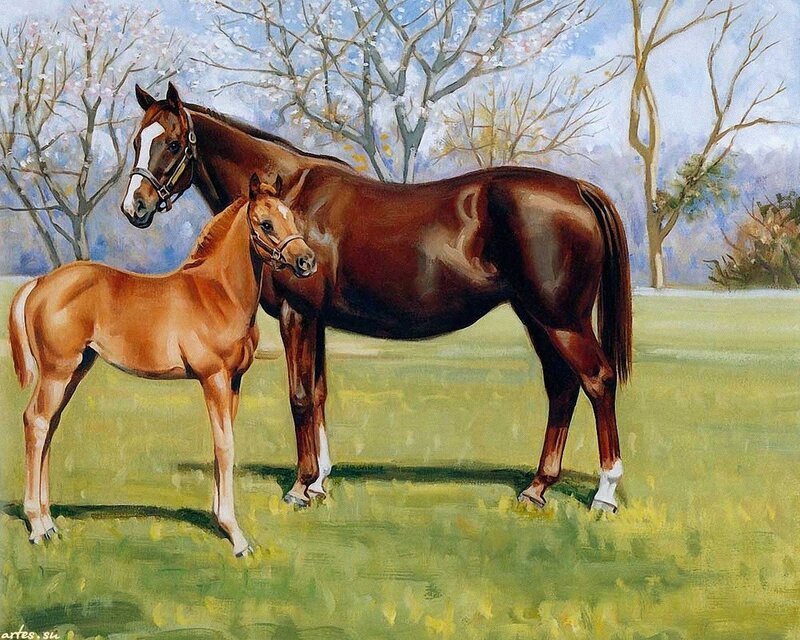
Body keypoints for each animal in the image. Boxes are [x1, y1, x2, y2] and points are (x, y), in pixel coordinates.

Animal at [9, 174, 316, 555]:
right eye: (266, 224)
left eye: (292, 218)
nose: (306, 262)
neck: (218, 293)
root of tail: (40, 283)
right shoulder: (213, 378)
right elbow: (225, 445)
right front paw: (236, 536)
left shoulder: (233, 382)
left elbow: (223, 443)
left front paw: (221, 521)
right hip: (56, 372)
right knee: (36, 422)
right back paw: (37, 526)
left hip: (75, 370)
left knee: (50, 424)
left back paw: (50, 523)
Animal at [122, 83, 632, 513]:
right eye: (136, 140)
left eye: (172, 143)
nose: (135, 207)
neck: (290, 197)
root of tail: (578, 189)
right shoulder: (317, 319)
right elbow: (320, 393)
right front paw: (320, 482)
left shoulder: (296, 314)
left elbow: (300, 396)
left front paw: (299, 487)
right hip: (537, 318)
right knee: (562, 387)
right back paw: (537, 487)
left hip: (561, 320)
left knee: (597, 381)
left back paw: (605, 493)